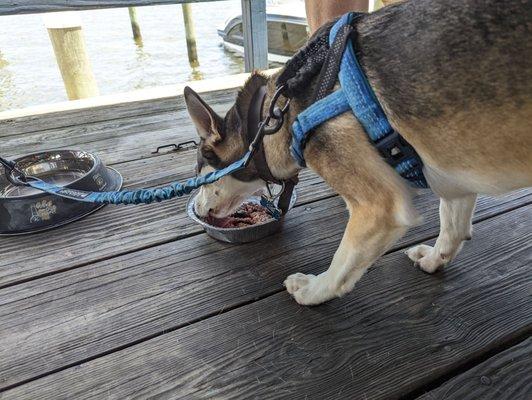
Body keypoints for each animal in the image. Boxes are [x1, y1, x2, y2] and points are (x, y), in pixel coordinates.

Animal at [184, 0, 532, 304]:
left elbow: (342, 264)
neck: (275, 113)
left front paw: (314, 290)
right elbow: (453, 229)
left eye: (200, 177)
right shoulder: (455, 172)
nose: (197, 210)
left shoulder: (380, 208)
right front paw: (434, 259)